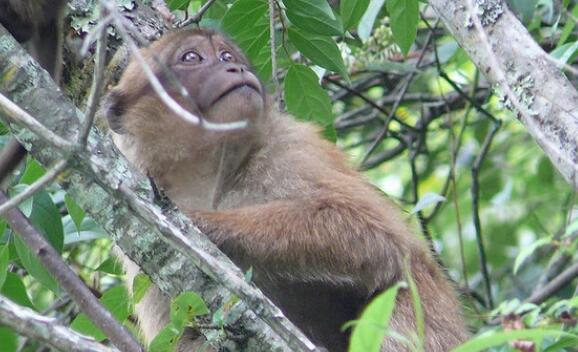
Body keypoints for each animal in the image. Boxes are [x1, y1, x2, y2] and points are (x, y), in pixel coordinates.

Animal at [101, 28, 466, 350]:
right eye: (191, 57)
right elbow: (182, 338)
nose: (236, 68)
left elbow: (373, 234)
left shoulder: (288, 145)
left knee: (406, 285)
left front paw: (201, 224)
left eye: (227, 56)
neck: (208, 175)